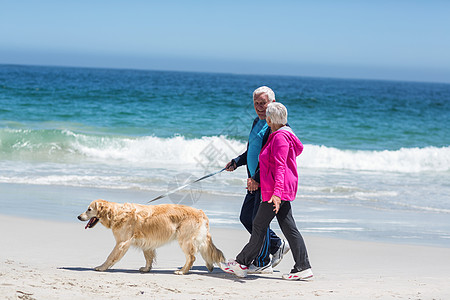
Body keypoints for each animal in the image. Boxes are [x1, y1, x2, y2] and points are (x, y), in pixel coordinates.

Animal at [78, 199, 225, 274]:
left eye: (89, 209)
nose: (78, 216)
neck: (116, 213)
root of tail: (201, 212)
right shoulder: (147, 242)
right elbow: (148, 257)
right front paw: (146, 269)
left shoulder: (122, 242)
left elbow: (110, 257)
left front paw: (102, 267)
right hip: (198, 239)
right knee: (207, 251)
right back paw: (209, 266)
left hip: (185, 240)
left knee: (192, 257)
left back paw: (182, 271)